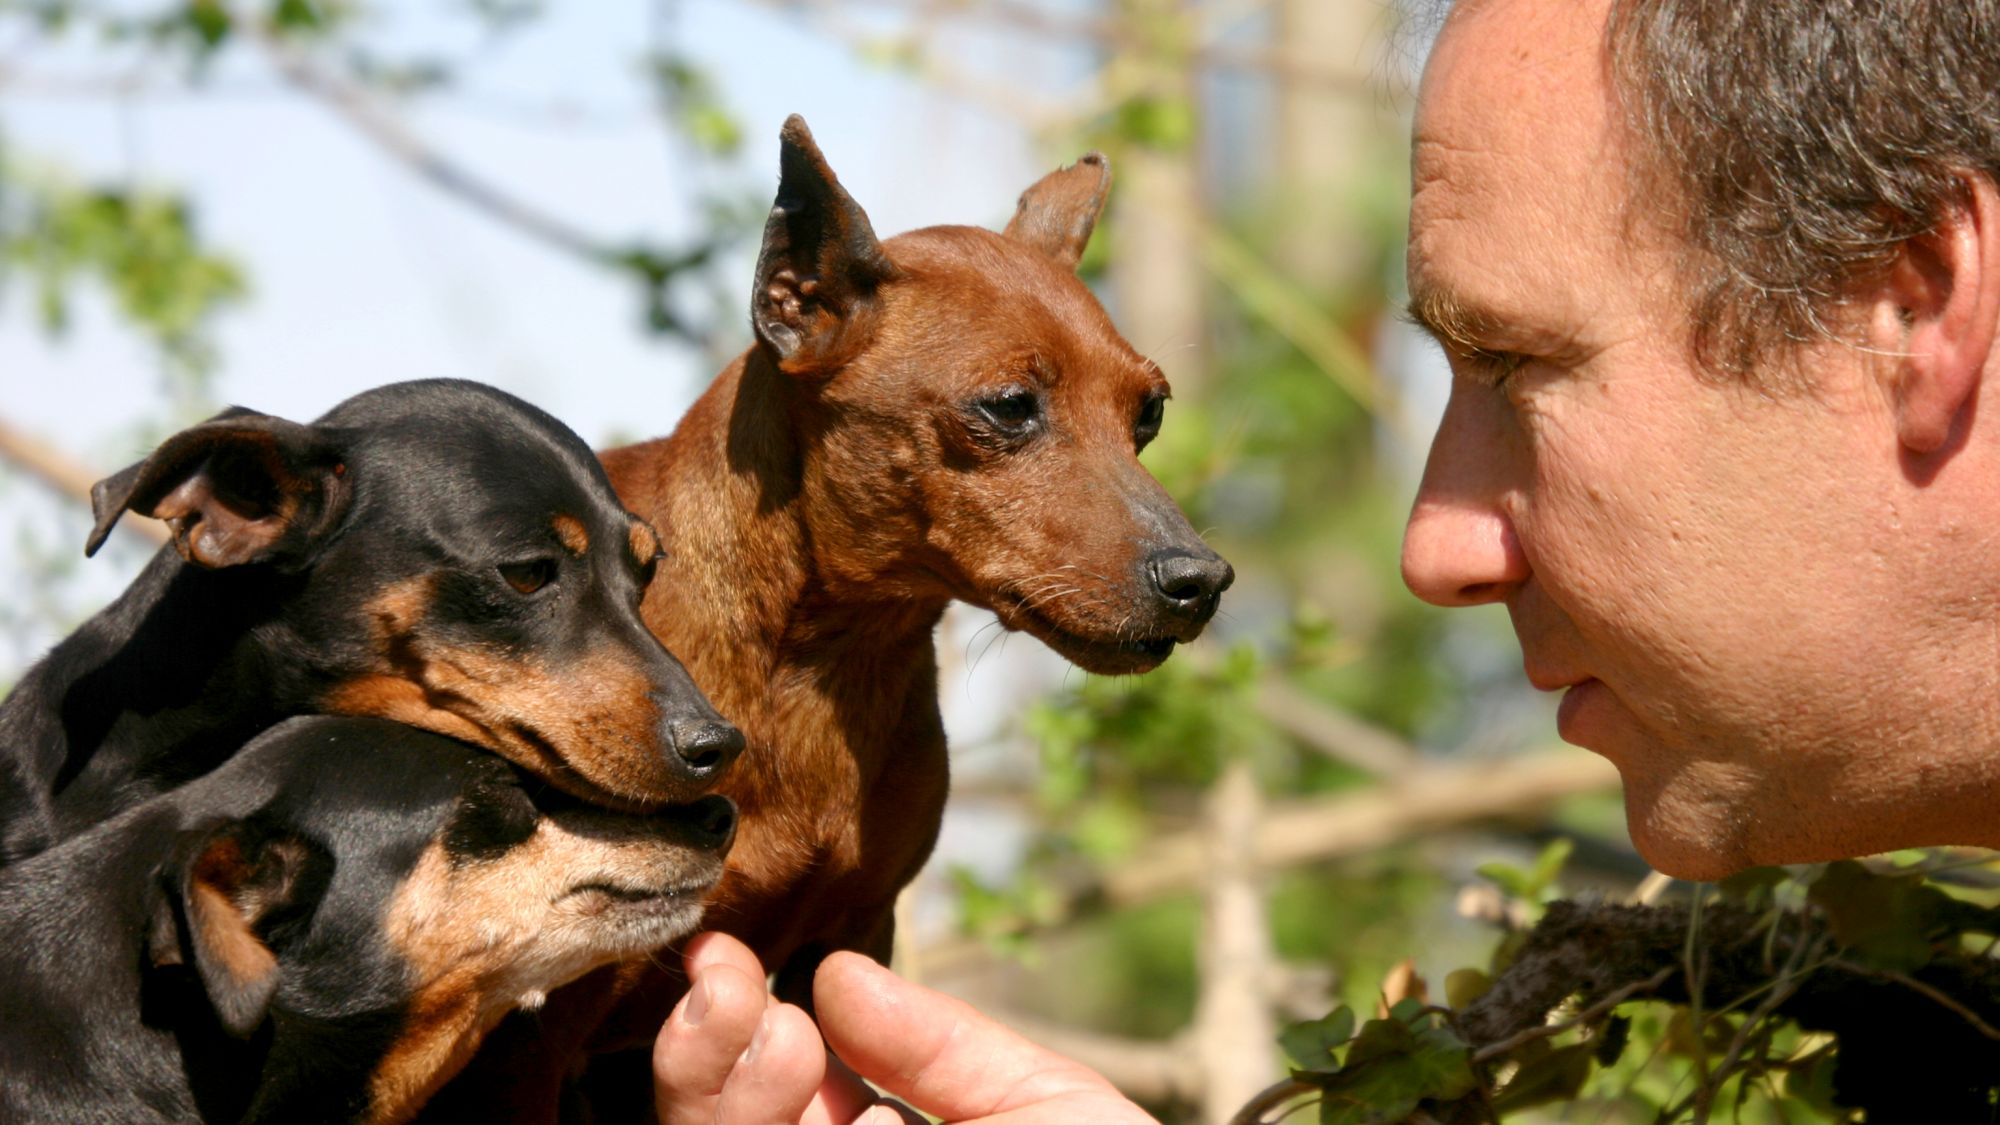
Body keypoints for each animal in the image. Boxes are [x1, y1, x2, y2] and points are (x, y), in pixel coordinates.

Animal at [430, 114, 1224, 1112]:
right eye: (1009, 407)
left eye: (1149, 413)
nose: (1204, 578)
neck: (818, 670)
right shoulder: (532, 1036)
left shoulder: (847, 941)